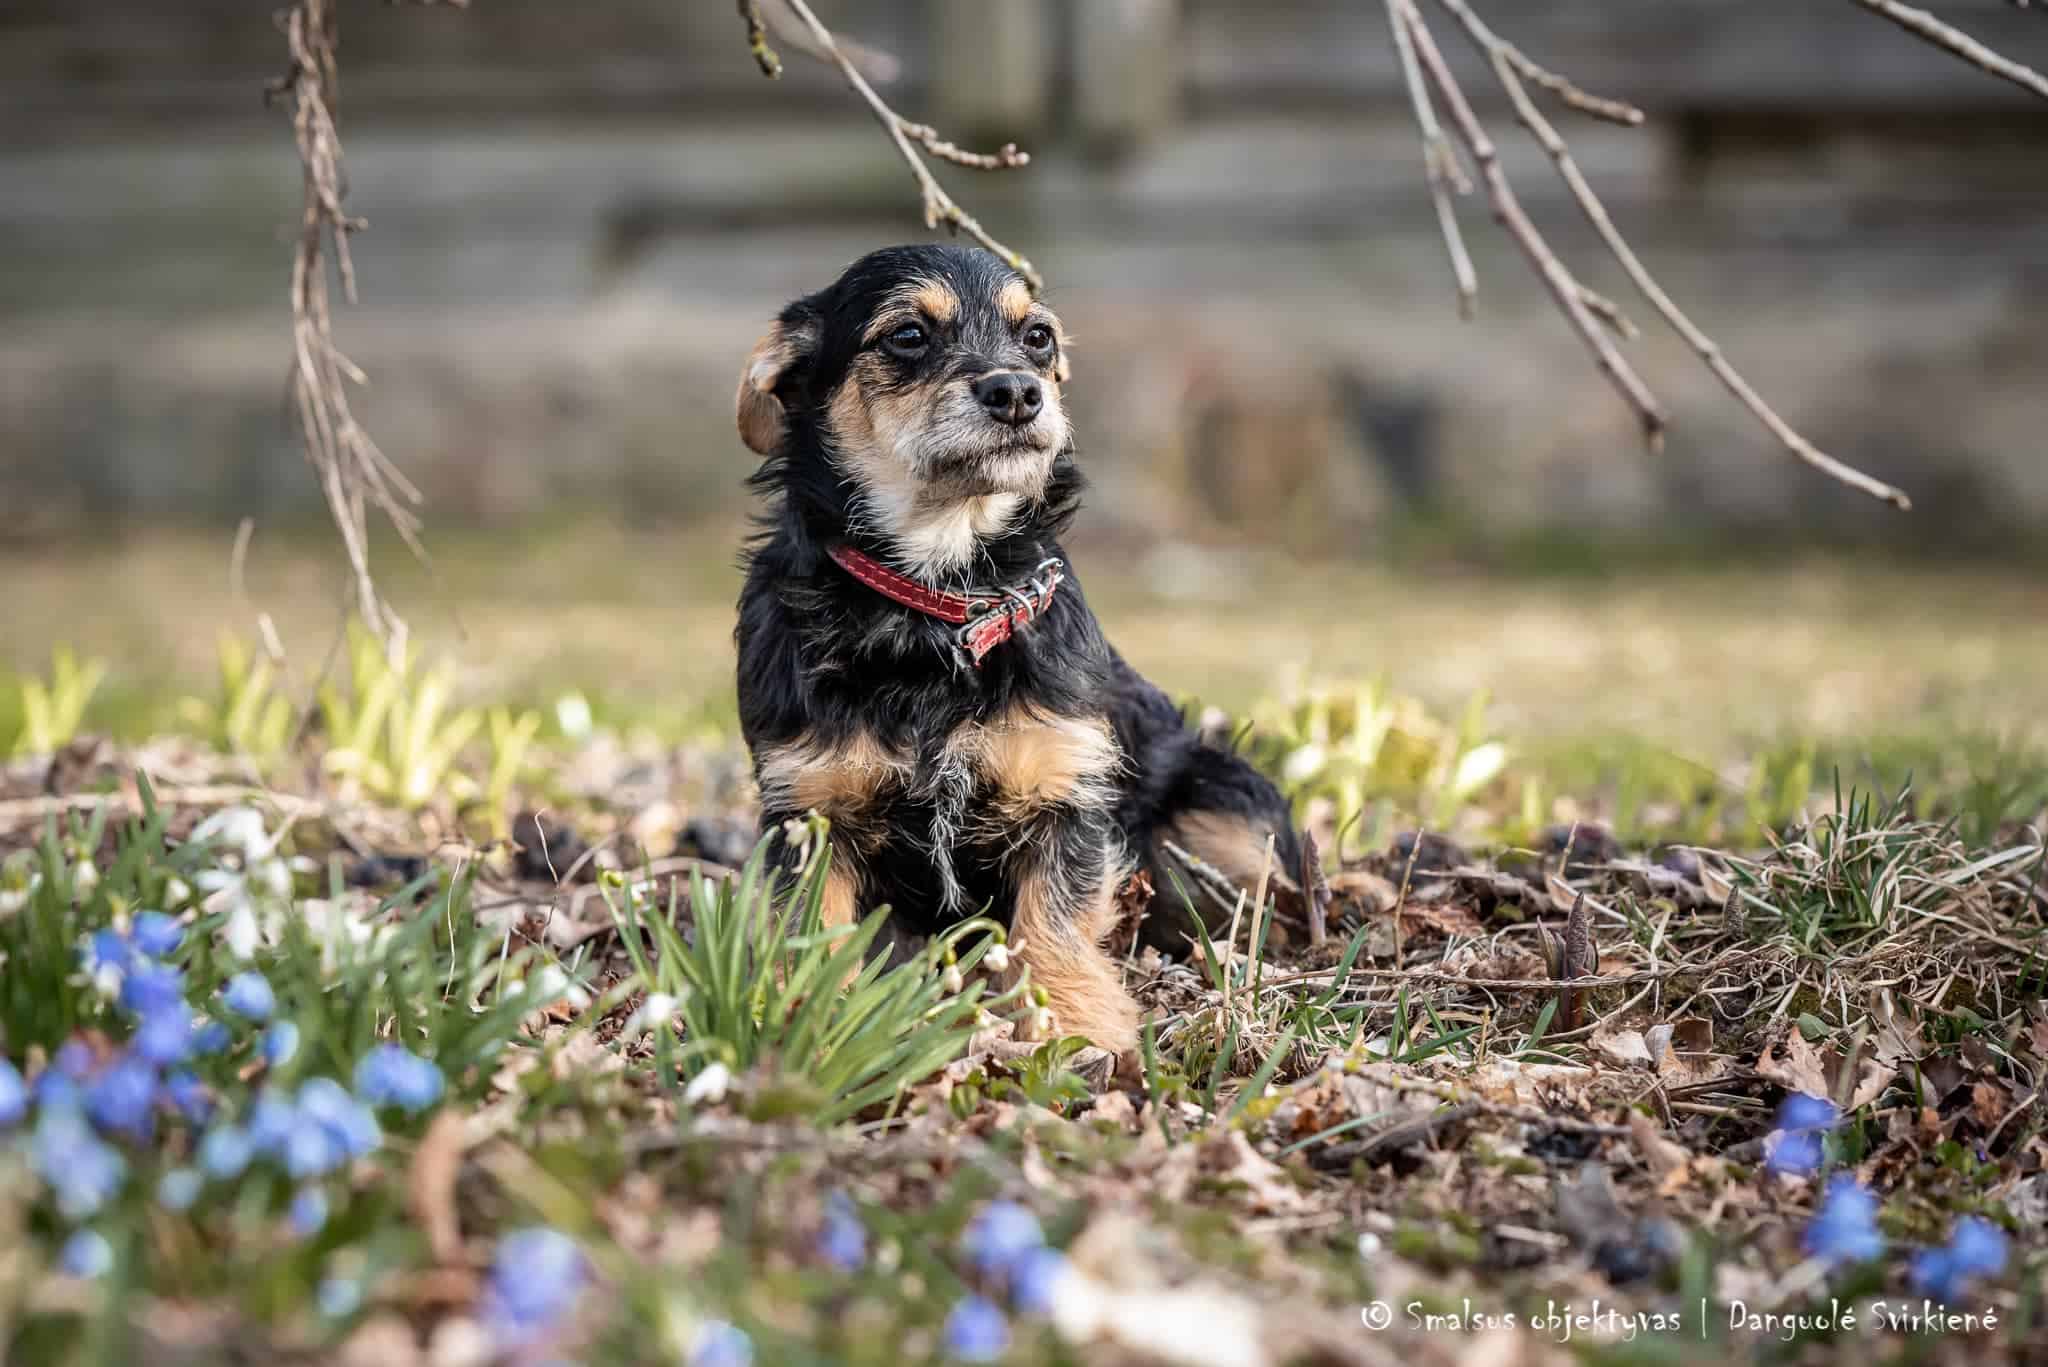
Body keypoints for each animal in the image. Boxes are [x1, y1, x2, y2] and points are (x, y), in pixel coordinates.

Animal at [733, 244, 1319, 1054]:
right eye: (908, 335)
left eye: (1037, 337)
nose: (1017, 392)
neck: (937, 600)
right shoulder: (810, 810)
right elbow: (813, 930)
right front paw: (809, 1016)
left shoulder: (1064, 792)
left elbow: (1056, 921)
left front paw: (1076, 1028)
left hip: (1230, 818)